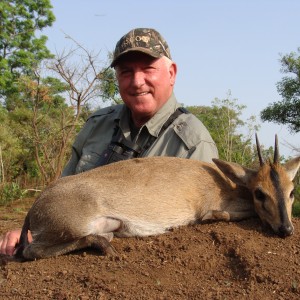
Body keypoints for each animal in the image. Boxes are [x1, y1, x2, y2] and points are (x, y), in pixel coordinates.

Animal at [15, 135, 298, 258]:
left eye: (291, 191)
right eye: (259, 193)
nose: (286, 228)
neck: (225, 183)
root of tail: (35, 207)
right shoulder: (210, 208)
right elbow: (224, 214)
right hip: (71, 227)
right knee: (30, 251)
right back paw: (105, 247)